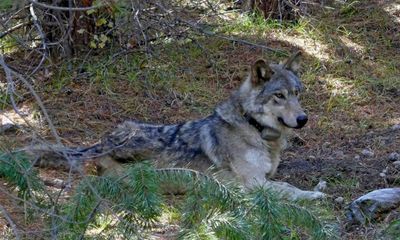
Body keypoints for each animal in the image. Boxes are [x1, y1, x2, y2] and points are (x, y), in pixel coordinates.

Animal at [34, 52, 324, 201]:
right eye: (279, 96)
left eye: (297, 93)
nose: (303, 119)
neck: (255, 129)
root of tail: (101, 142)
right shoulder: (254, 183)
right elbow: (288, 189)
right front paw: (313, 195)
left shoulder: (265, 177)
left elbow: (285, 183)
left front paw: (317, 188)